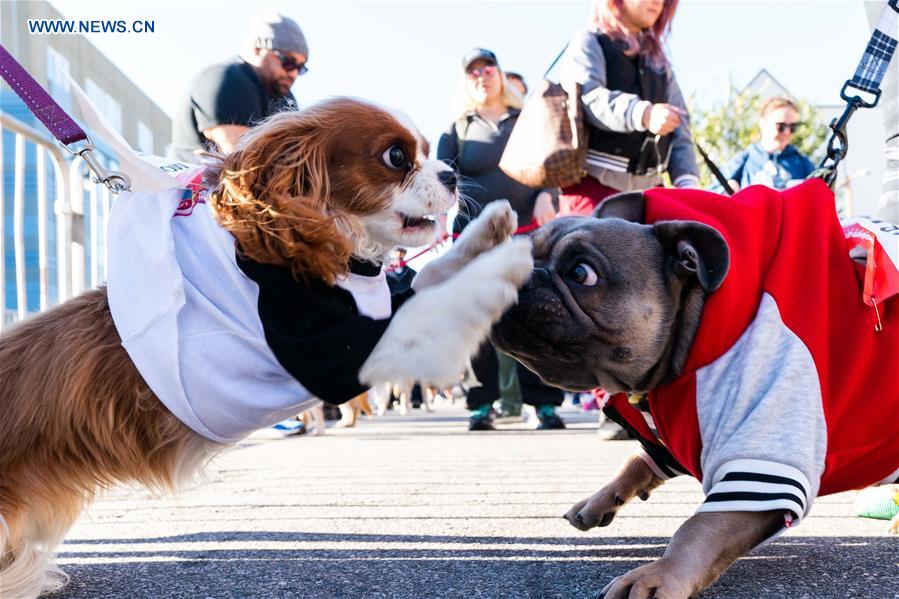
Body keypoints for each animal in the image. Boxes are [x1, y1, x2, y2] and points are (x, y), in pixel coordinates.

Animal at [0, 96, 536, 596]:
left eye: (428, 152)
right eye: (397, 156)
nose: (452, 173)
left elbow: (432, 277)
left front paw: (487, 234)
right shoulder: (344, 351)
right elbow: (437, 302)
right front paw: (500, 266)